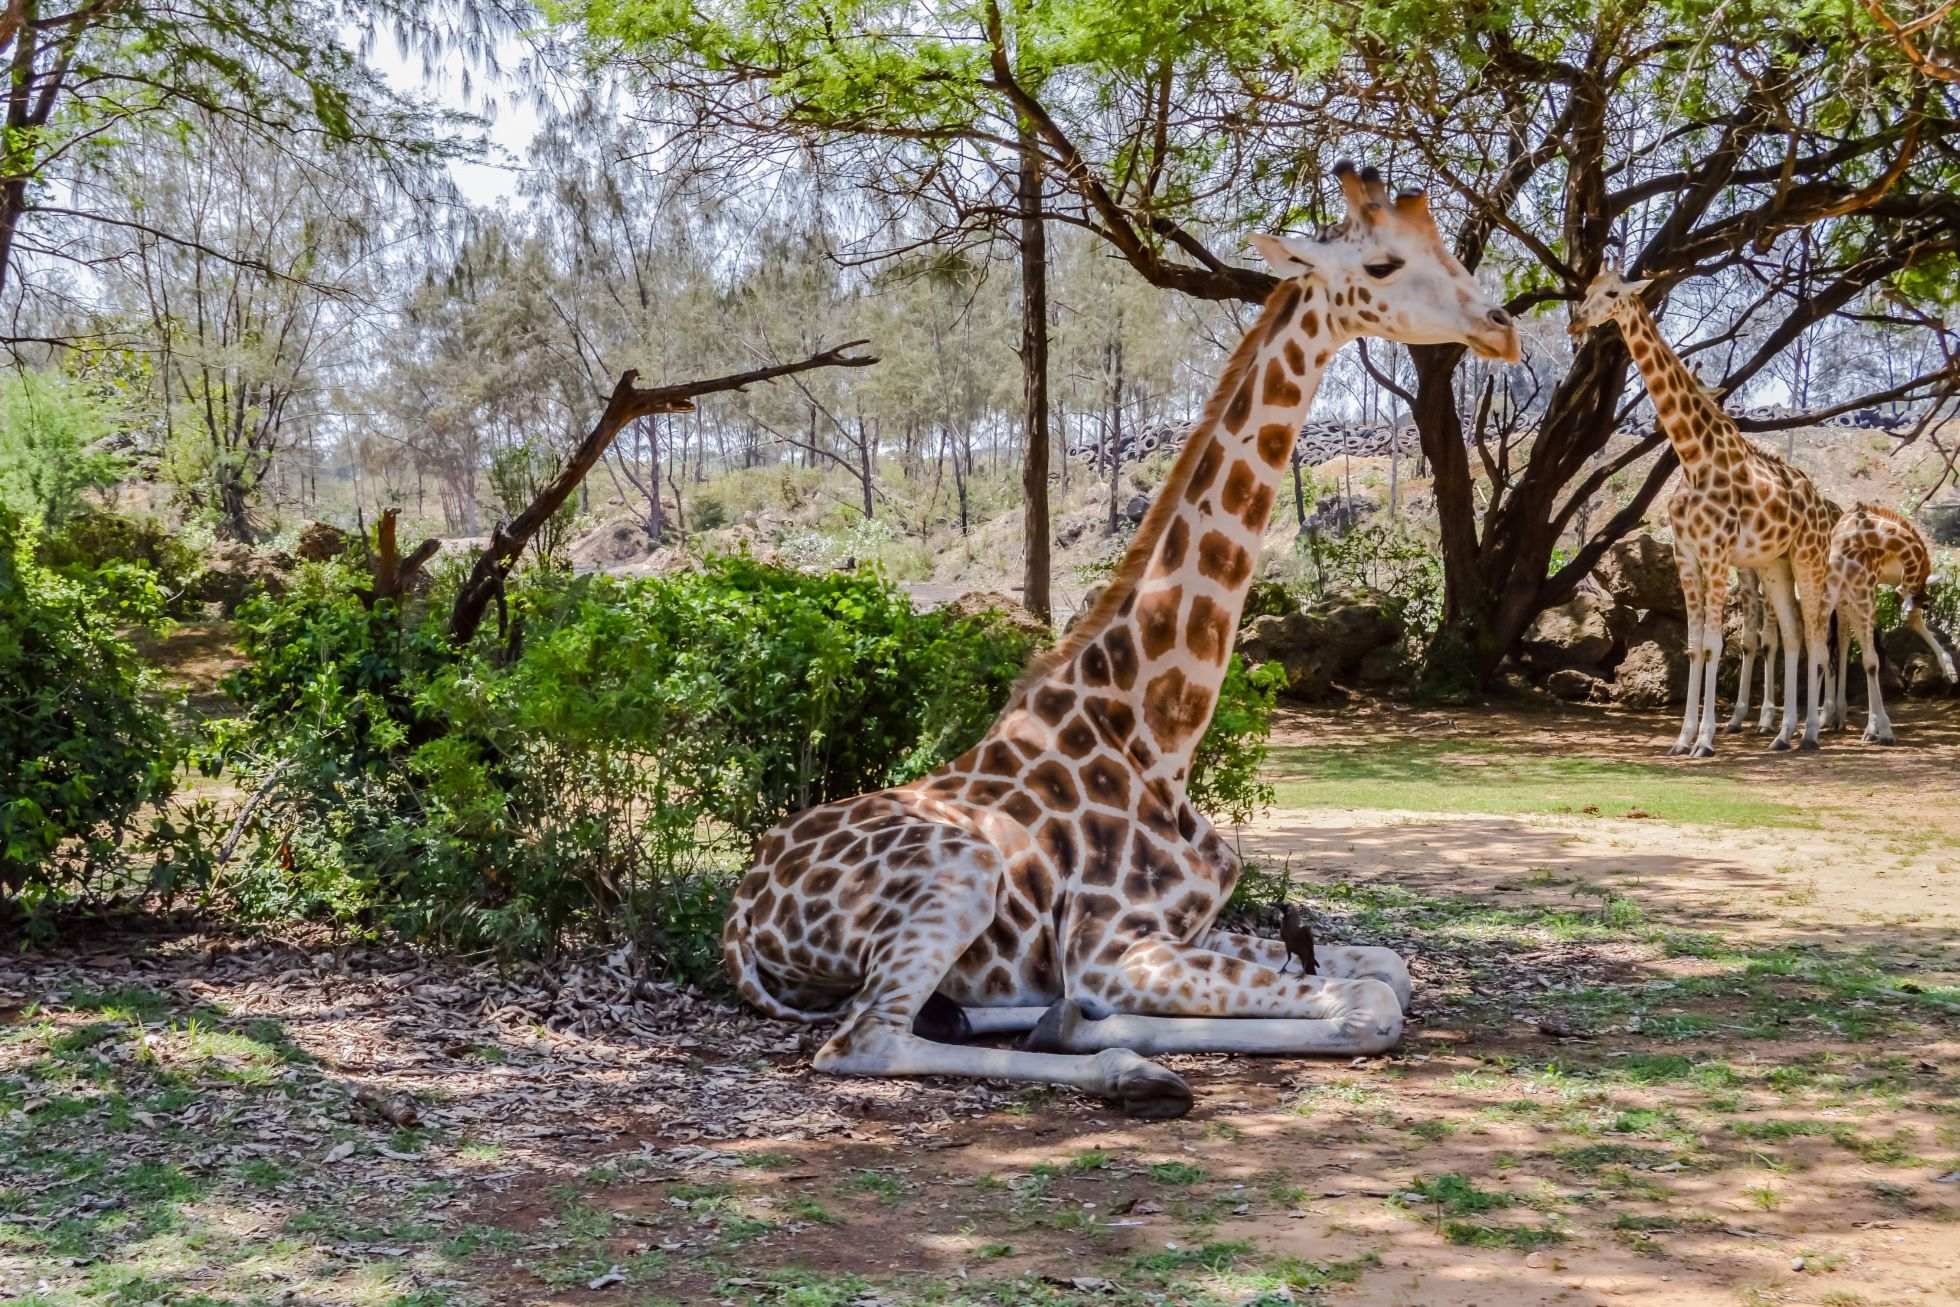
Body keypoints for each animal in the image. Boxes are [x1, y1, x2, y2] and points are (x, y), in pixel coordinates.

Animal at [722, 162, 1521, 1119]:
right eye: (1383, 263)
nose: (1503, 324)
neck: (1157, 735)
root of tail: (740, 915)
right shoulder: (1114, 944)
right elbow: (1368, 1001)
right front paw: (1101, 1033)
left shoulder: (1189, 928)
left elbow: (1390, 967)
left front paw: (1069, 1016)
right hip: (956, 871)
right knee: (865, 1038)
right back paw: (1127, 1069)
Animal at [1570, 268, 1838, 755]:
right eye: (1586, 291)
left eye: (1613, 293)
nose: (1577, 322)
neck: (1693, 456)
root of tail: (1817, 497)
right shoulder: (1686, 555)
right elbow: (1695, 645)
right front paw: (1682, 738)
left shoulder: (1715, 554)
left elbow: (1715, 644)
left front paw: (1706, 740)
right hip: (1776, 563)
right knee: (1792, 635)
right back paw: (1783, 734)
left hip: (1809, 559)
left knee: (1813, 636)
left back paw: (1810, 732)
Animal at [1825, 502, 1955, 743]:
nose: (1925, 602)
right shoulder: (1862, 594)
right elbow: (1870, 661)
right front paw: (1879, 729)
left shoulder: (1867, 591)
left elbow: (1869, 658)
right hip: (1844, 597)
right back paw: (1829, 717)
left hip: (1850, 598)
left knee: (1841, 640)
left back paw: (1837, 716)